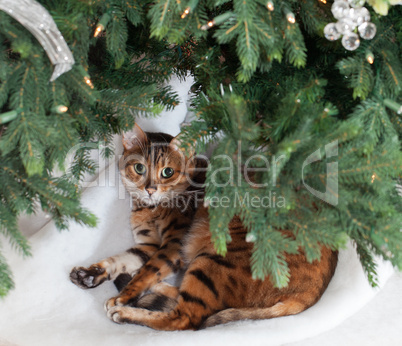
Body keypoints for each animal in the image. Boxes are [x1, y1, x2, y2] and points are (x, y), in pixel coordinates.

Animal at [70, 123, 340, 330]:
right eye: (139, 168)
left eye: (167, 172)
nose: (150, 189)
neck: (149, 208)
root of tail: (312, 294)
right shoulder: (149, 245)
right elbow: (120, 259)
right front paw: (90, 274)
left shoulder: (171, 247)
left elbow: (146, 271)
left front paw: (122, 298)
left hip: (212, 259)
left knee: (185, 318)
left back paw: (127, 312)